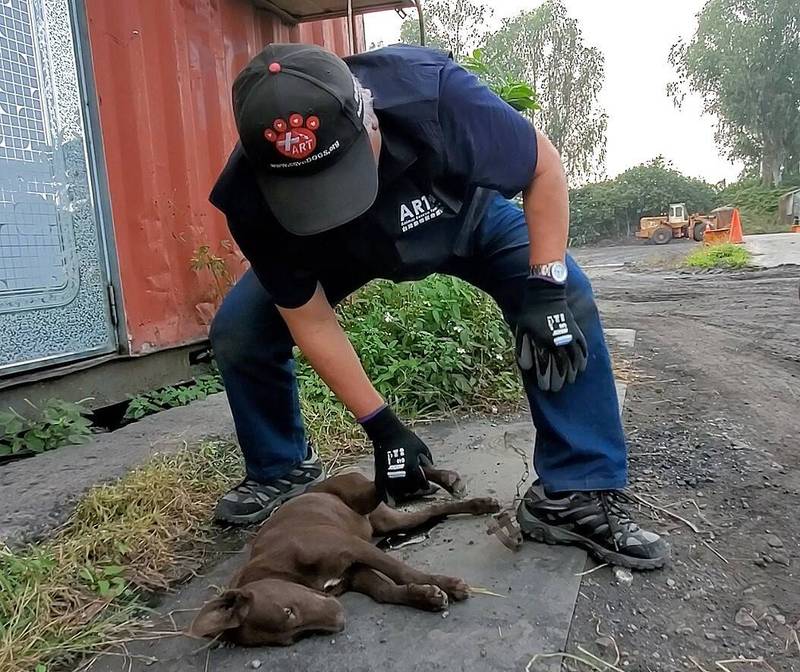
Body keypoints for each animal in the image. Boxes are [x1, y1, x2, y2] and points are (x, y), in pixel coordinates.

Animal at [190, 468, 496, 644]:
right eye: (296, 637)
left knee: (388, 475)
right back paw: (476, 504)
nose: (338, 620)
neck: (281, 571)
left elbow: (401, 571)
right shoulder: (354, 572)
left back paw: (442, 476)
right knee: (431, 510)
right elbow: (385, 591)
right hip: (386, 521)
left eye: (289, 611)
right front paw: (424, 596)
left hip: (362, 495)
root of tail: (317, 486)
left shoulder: (352, 546)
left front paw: (447, 585)